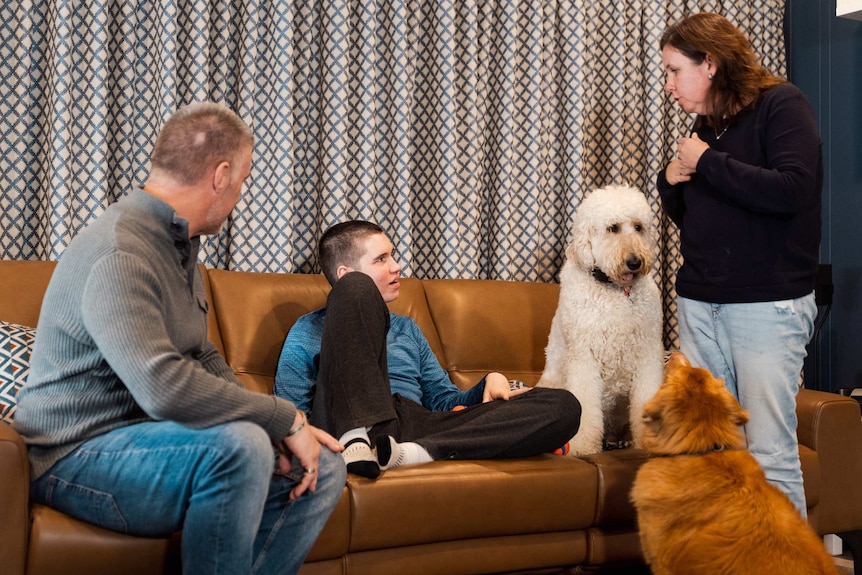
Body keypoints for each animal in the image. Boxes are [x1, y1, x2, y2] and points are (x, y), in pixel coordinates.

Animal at [540, 183, 668, 454]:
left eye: (638, 227)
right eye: (613, 228)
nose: (634, 262)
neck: (616, 291)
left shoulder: (648, 353)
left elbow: (645, 395)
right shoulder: (583, 357)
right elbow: (585, 405)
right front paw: (581, 445)